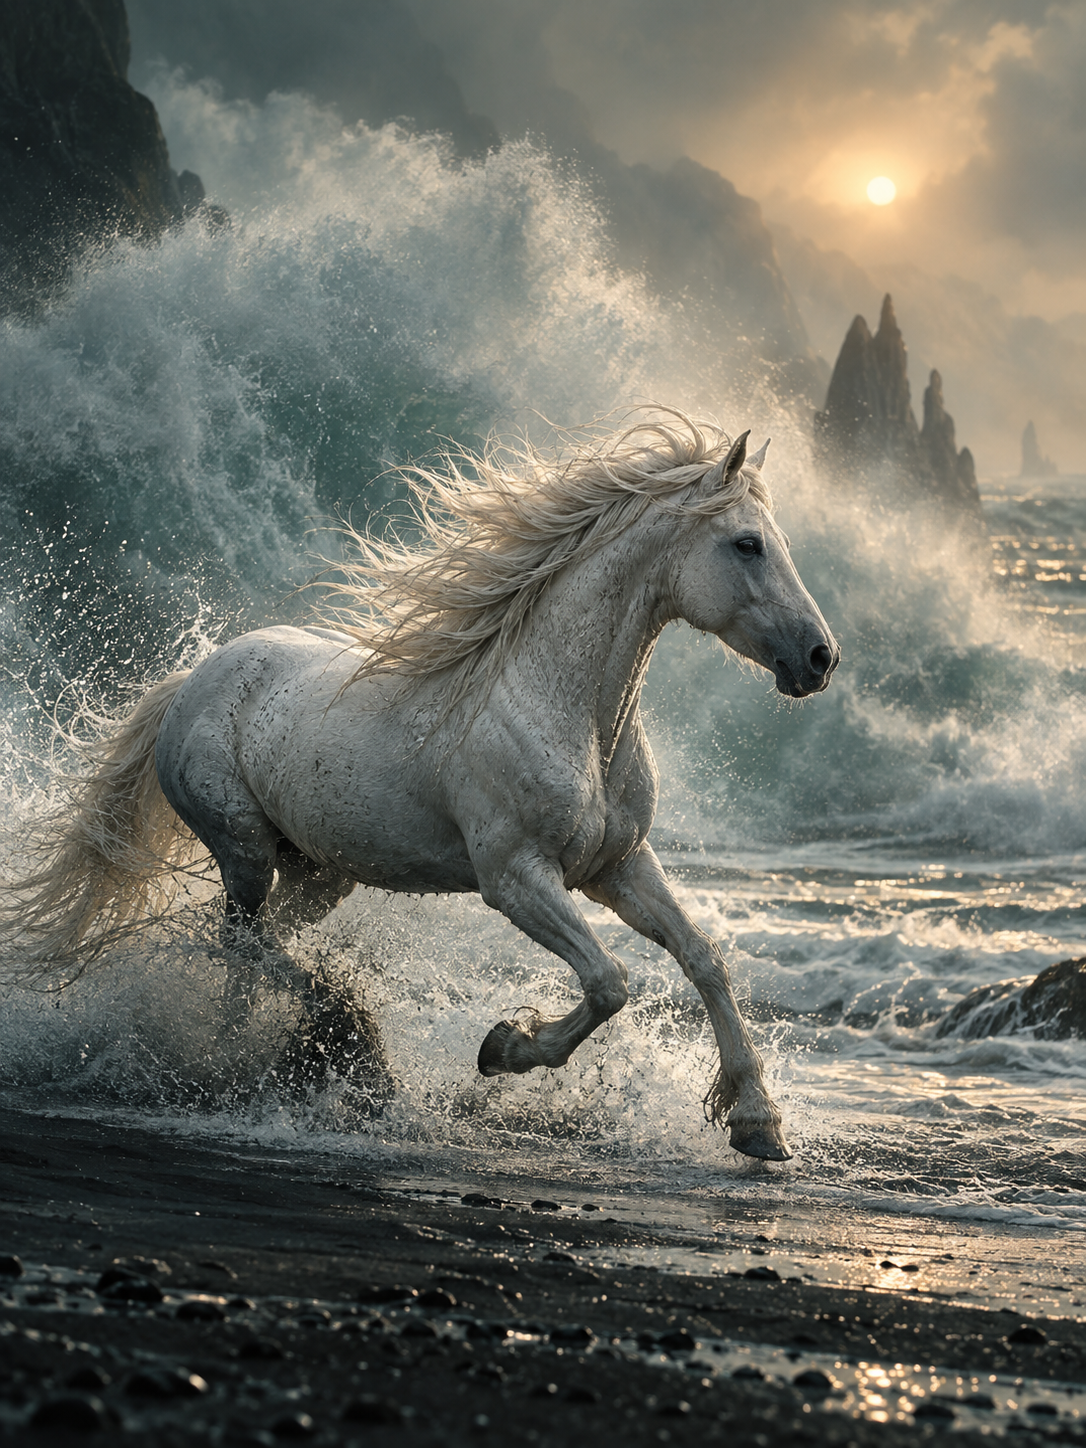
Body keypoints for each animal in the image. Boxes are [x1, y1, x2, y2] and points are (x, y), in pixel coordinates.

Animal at [5, 411, 838, 1160]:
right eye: (747, 544)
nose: (820, 658)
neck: (562, 708)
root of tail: (194, 678)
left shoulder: (619, 866)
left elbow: (703, 958)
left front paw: (758, 1123)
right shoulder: (515, 877)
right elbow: (610, 980)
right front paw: (503, 1047)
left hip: (317, 873)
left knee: (249, 946)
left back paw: (246, 1066)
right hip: (242, 849)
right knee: (240, 942)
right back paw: (337, 1039)